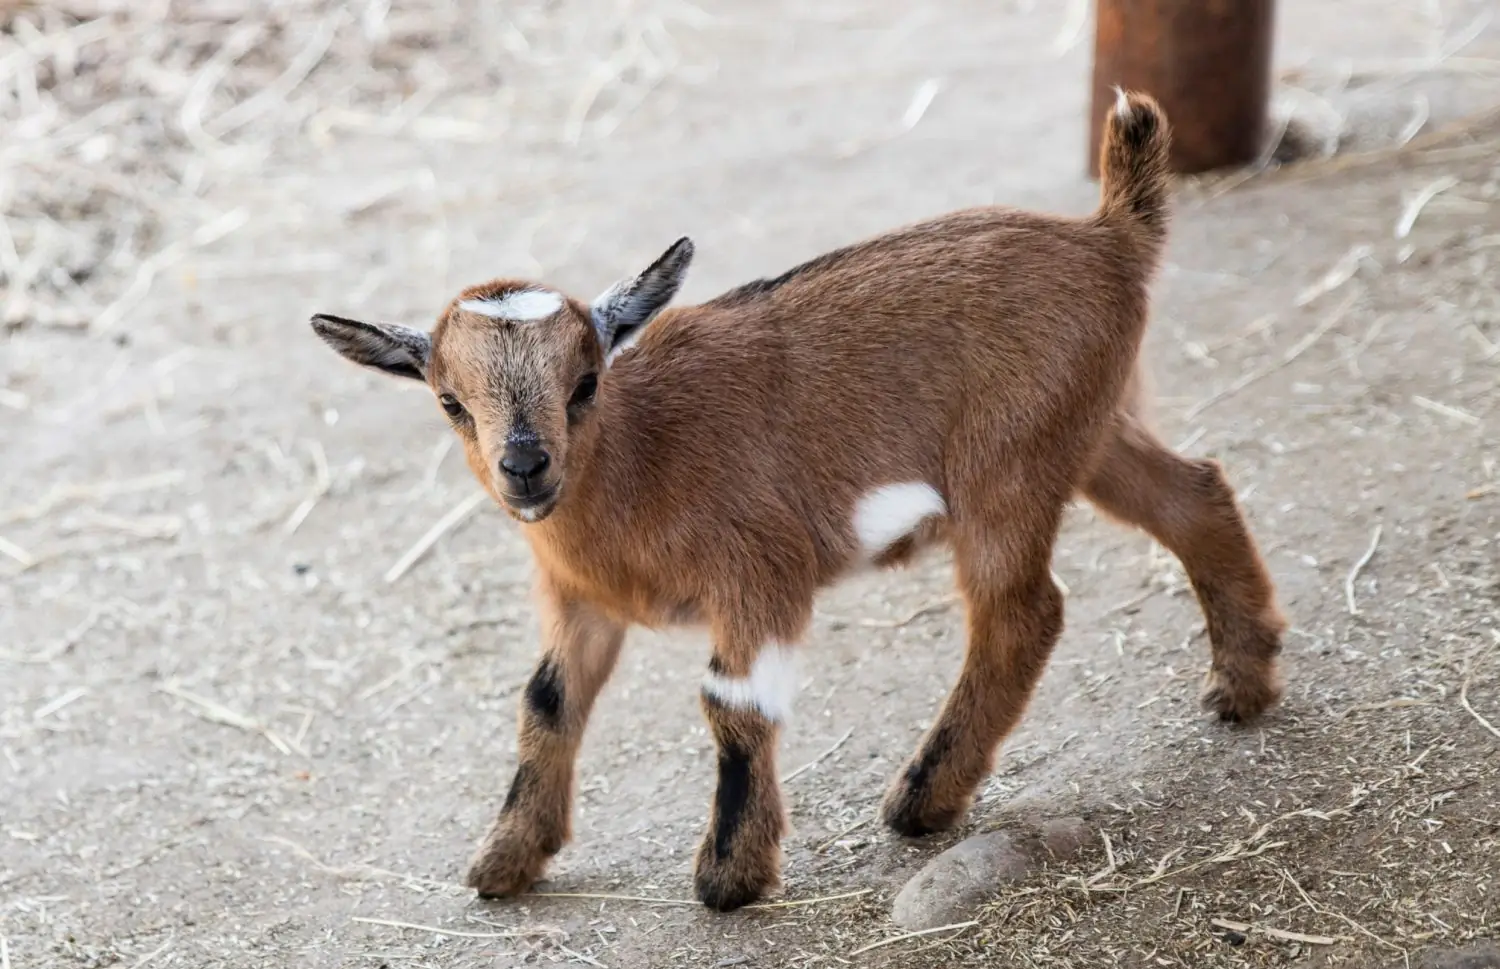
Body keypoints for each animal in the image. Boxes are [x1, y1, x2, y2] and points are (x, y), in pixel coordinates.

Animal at [310, 91, 1284, 912]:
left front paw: (730, 876)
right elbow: (546, 700)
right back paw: (1243, 683)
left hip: (1008, 467)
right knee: (1195, 492)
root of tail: (1110, 234)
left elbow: (733, 706)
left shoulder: (759, 571)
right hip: (1087, 429)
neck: (639, 455)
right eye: (449, 401)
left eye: (585, 381)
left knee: (1022, 611)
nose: (525, 465)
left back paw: (922, 797)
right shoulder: (581, 600)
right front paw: (507, 858)